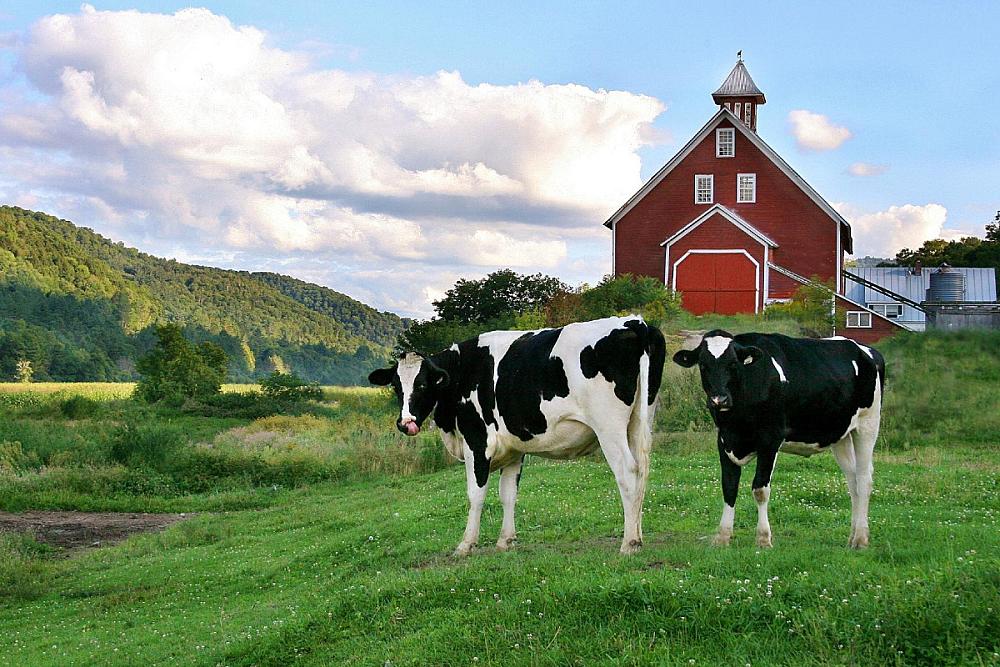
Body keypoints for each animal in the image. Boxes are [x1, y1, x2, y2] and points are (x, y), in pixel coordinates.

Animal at [368, 316, 666, 556]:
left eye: (422, 384)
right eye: (396, 386)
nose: (405, 423)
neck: (462, 372)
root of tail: (635, 322)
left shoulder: (477, 443)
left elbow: (475, 494)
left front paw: (466, 545)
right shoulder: (513, 449)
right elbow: (508, 493)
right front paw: (505, 541)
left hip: (609, 427)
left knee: (627, 472)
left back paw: (628, 543)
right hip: (640, 420)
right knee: (642, 471)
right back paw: (638, 536)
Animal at [672, 330, 885, 549]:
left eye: (733, 364)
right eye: (703, 365)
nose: (718, 400)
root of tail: (866, 350)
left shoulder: (770, 439)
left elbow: (760, 489)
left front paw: (763, 538)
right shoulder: (724, 440)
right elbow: (729, 487)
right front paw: (722, 537)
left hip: (867, 424)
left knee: (864, 479)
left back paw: (860, 539)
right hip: (841, 434)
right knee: (852, 480)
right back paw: (852, 537)